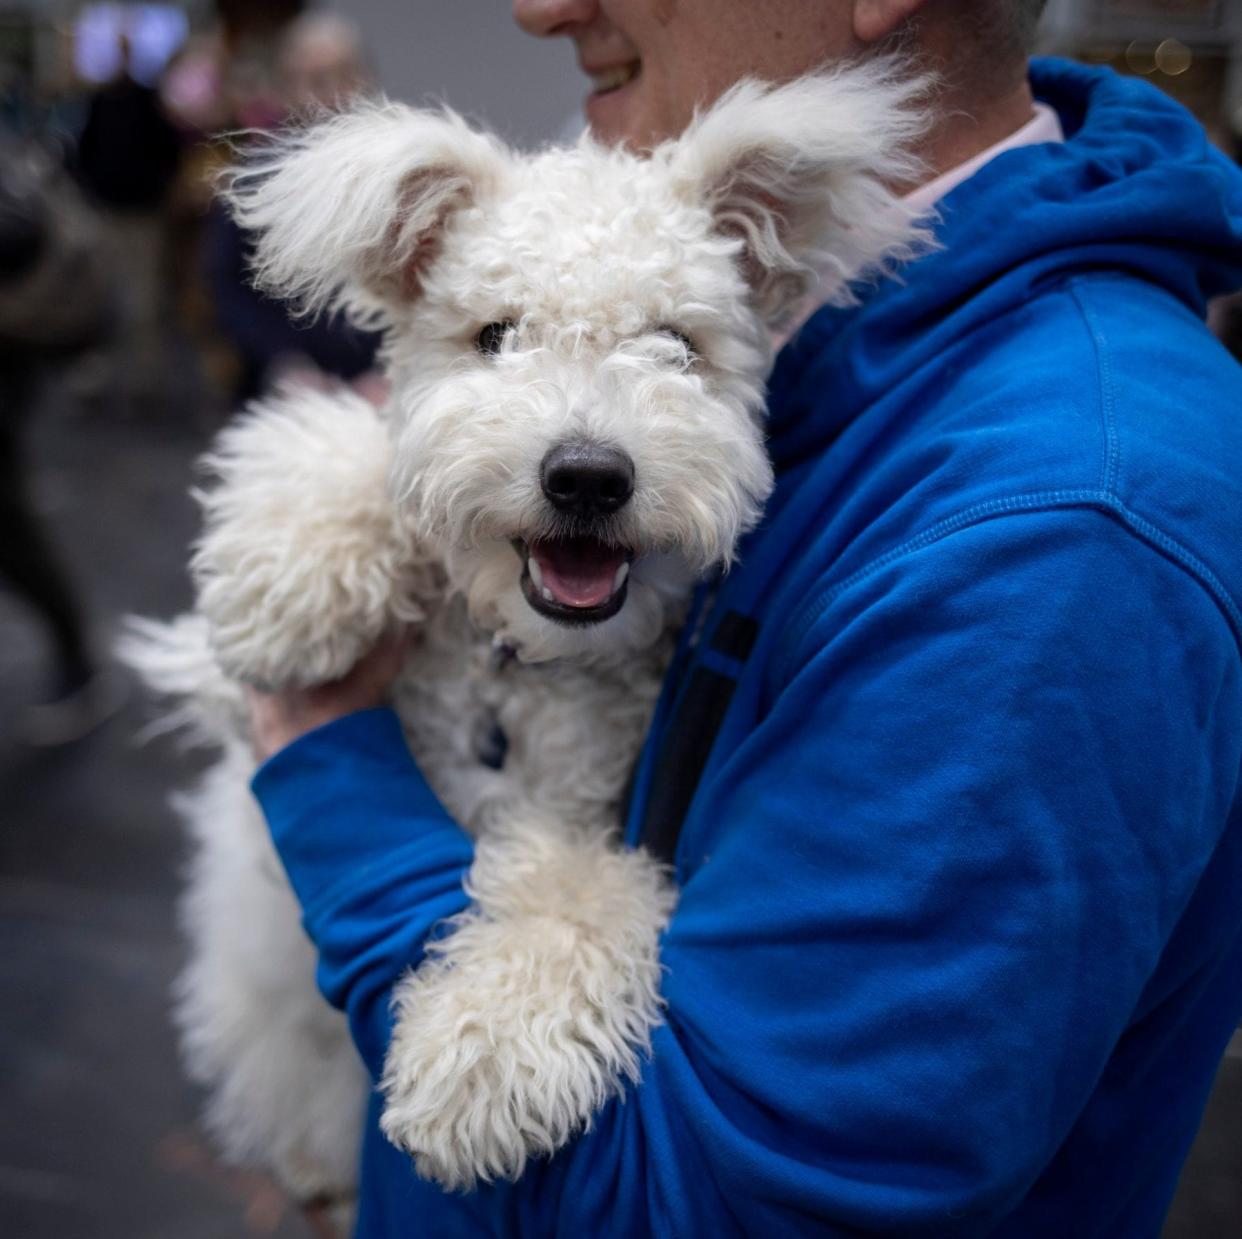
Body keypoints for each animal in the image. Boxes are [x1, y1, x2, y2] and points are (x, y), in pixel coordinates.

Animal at [123, 58, 933, 1211]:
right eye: (496, 336)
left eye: (677, 345)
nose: (587, 476)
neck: (515, 666)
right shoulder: (244, 736)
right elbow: (342, 449)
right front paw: (297, 582)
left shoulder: (587, 821)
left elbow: (575, 901)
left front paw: (483, 1058)